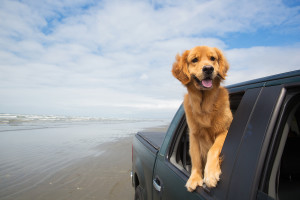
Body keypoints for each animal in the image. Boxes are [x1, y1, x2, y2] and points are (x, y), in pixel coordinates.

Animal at [172, 46, 233, 191]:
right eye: (194, 60)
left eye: (213, 58)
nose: (208, 69)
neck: (205, 104)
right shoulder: (194, 135)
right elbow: (195, 158)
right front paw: (195, 177)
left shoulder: (225, 130)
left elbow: (213, 149)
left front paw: (210, 173)